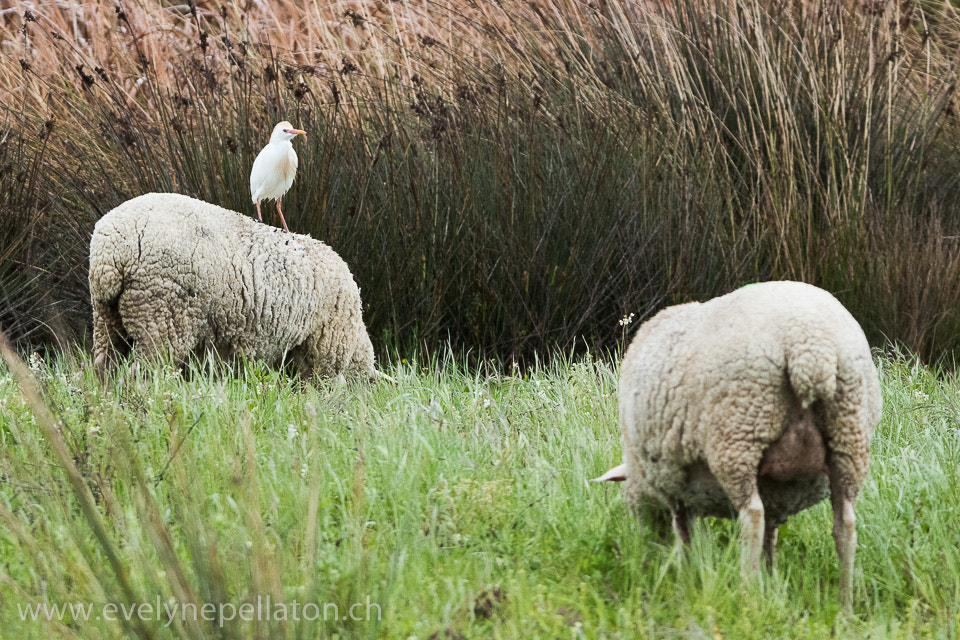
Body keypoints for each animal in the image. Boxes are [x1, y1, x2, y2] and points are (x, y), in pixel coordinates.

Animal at [89, 192, 376, 381]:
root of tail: (109, 253)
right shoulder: (322, 351)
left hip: (108, 316)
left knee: (104, 367)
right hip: (162, 314)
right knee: (142, 376)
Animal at [594, 281, 882, 611]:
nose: (647, 542)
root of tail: (810, 343)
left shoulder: (673, 486)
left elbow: (685, 535)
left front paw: (687, 578)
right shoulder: (775, 493)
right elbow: (771, 537)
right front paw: (771, 578)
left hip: (738, 434)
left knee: (752, 516)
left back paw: (749, 595)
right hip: (850, 435)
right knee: (844, 523)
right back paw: (845, 605)